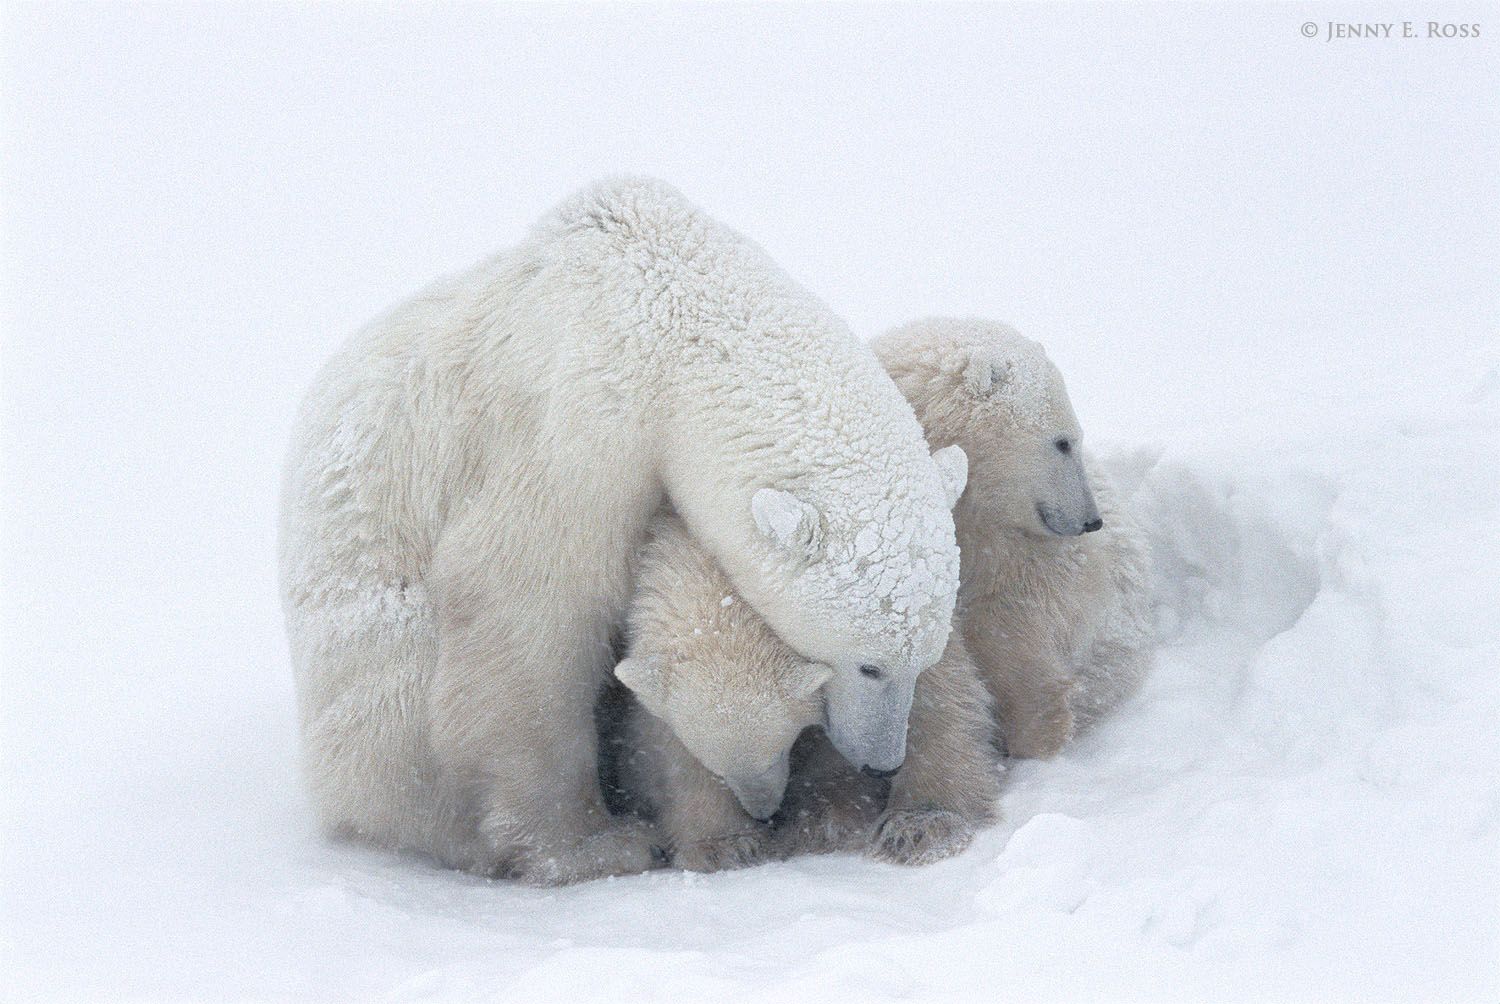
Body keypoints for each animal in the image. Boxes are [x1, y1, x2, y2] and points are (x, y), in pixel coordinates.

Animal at [611, 510, 1000, 871]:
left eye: (779, 751)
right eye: (719, 770)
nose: (764, 813)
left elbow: (937, 693)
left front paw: (919, 825)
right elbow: (667, 751)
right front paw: (723, 847)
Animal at [872, 317, 1153, 758]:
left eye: (1075, 438)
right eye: (1062, 441)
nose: (1092, 521)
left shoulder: (1016, 546)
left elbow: (1014, 620)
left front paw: (1038, 726)